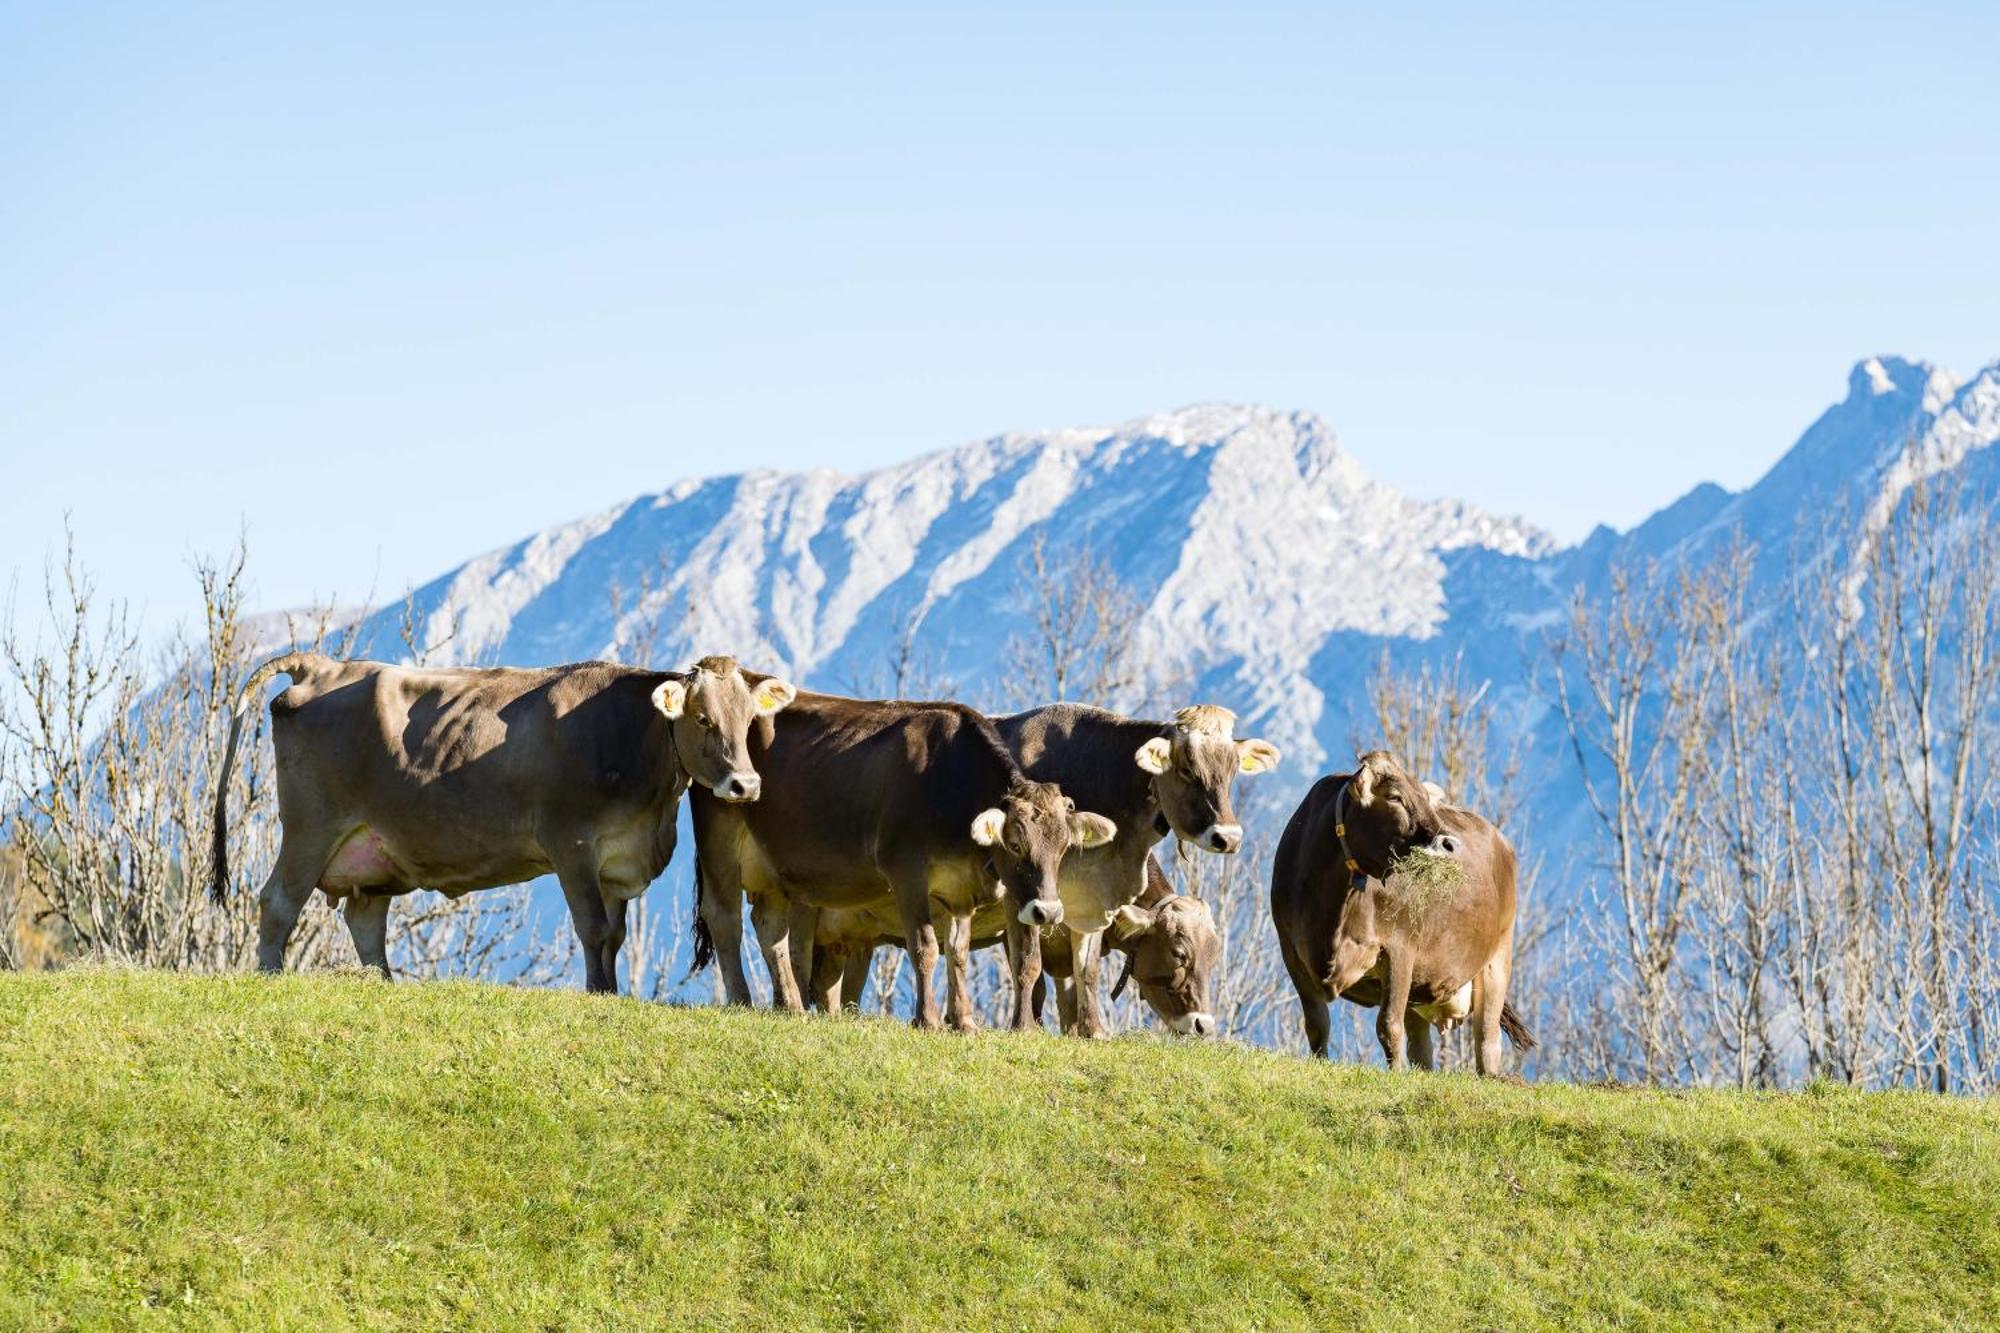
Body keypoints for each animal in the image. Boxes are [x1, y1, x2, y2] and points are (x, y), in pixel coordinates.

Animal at [209, 648, 788, 992]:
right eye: (702, 718)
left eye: (748, 719)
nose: (746, 785)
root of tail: (321, 664)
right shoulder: (571, 843)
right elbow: (594, 928)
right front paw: (599, 993)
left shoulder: (618, 861)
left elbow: (616, 935)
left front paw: (611, 991)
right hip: (311, 828)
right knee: (278, 902)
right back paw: (269, 979)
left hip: (372, 848)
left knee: (365, 920)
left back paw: (385, 985)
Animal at [696, 688, 1120, 1032]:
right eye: (1015, 844)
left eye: (1064, 847)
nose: (1047, 911)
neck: (951, 786)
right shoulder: (906, 871)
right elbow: (926, 947)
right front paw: (928, 1020)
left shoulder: (959, 888)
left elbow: (958, 953)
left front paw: (964, 1022)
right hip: (719, 837)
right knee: (725, 917)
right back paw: (742, 1000)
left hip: (774, 869)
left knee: (770, 926)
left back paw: (790, 1006)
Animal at [796, 856, 1216, 1032]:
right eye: (1179, 953)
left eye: (1213, 959)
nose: (1203, 1025)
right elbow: (1033, 979)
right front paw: (1028, 1027)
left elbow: (1069, 990)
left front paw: (1073, 1032)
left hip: (848, 942)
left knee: (835, 991)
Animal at [1264, 748, 1528, 1072]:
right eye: (1394, 797)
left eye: (1424, 797)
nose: (1451, 844)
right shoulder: (1290, 948)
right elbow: (1316, 1023)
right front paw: (1320, 1063)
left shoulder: (1400, 948)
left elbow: (1388, 1025)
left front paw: (1396, 1075)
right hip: (1420, 984)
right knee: (1421, 1047)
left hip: (1497, 958)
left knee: (1486, 1039)